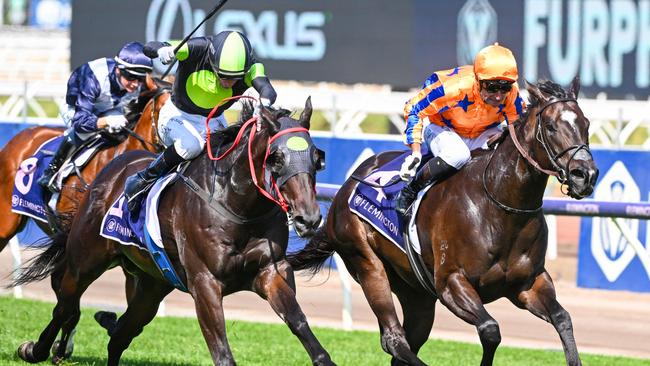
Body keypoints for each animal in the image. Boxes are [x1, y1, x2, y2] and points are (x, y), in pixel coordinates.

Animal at [14, 98, 332, 366]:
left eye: (317, 158)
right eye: (276, 158)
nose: (309, 218)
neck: (239, 207)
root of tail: (111, 170)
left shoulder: (270, 272)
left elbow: (299, 322)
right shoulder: (204, 283)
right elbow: (222, 352)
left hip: (151, 285)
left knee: (120, 335)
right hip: (85, 261)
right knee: (66, 305)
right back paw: (35, 350)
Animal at [288, 77, 596, 366]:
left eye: (586, 124)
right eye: (552, 126)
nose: (585, 175)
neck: (501, 208)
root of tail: (345, 190)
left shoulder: (528, 284)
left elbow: (563, 318)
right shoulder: (451, 283)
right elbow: (490, 329)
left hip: (417, 294)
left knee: (404, 343)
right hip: (367, 263)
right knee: (394, 339)